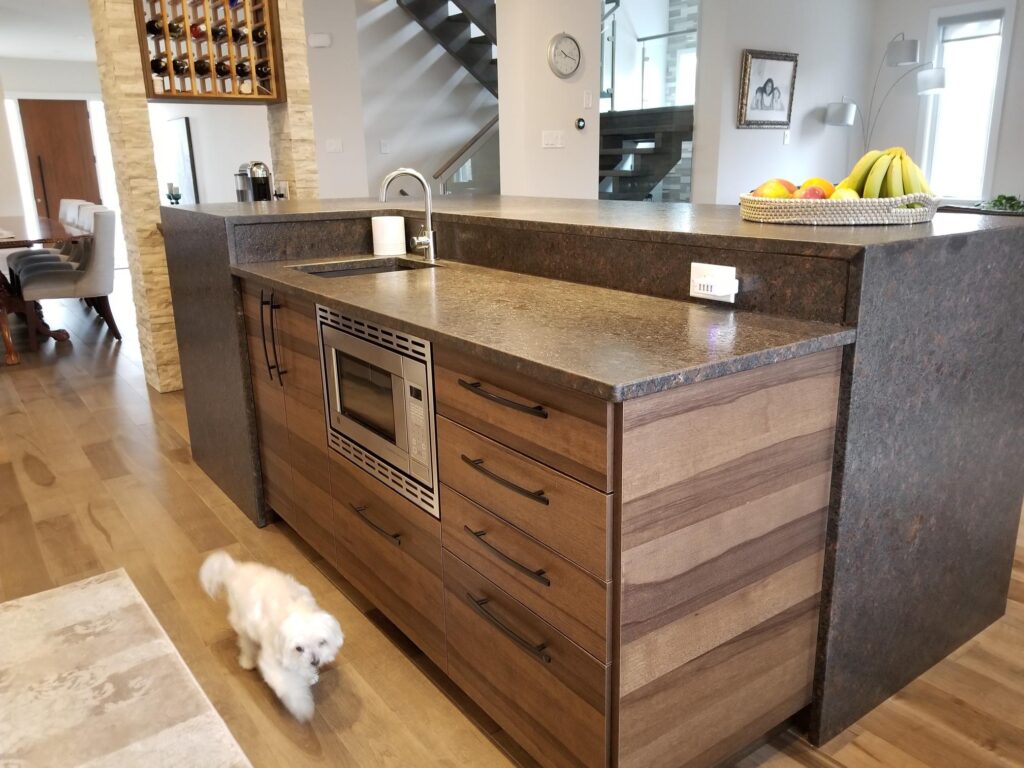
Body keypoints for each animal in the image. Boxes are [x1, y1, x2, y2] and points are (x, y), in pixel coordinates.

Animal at [199, 552, 344, 720]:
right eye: (299, 648)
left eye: (322, 642)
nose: (315, 661)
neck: (295, 609)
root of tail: (234, 569)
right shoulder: (273, 660)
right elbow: (289, 685)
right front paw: (303, 708)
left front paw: (309, 676)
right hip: (242, 621)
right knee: (246, 643)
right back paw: (247, 661)